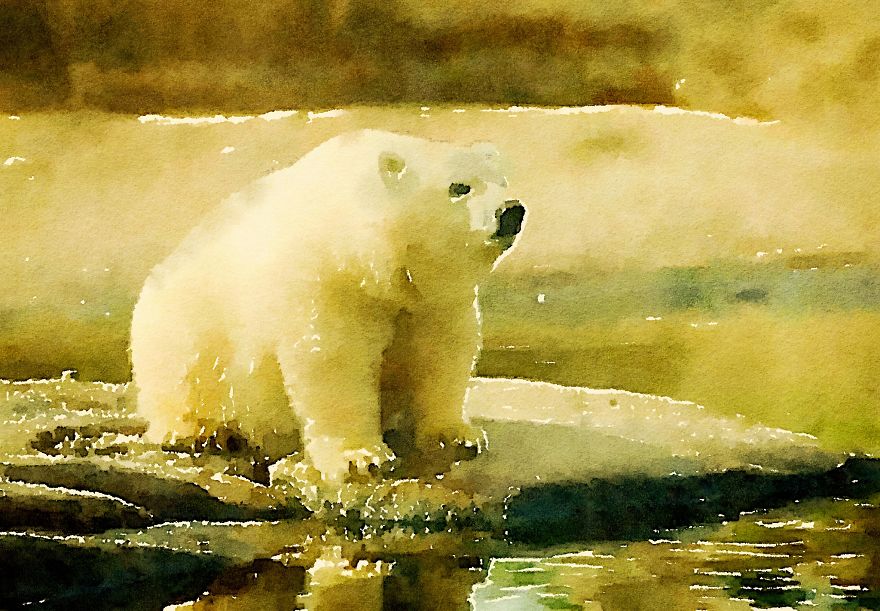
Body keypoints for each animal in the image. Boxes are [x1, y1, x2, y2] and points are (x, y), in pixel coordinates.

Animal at [130, 129, 526, 485]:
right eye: (459, 187)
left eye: (502, 181)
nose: (511, 210)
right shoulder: (330, 282)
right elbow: (336, 361)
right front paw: (360, 458)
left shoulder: (434, 300)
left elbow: (443, 352)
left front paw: (458, 435)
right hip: (182, 327)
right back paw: (199, 432)